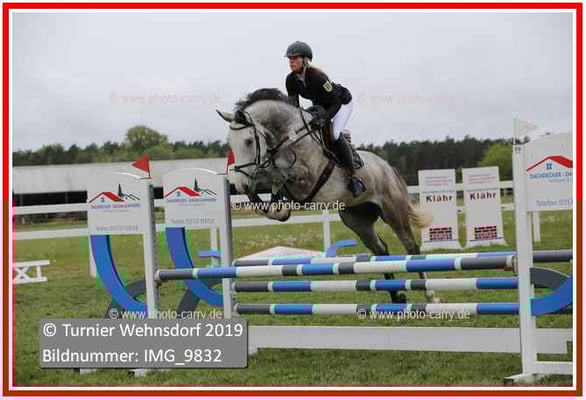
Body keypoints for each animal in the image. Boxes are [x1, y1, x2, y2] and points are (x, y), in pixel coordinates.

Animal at [217, 88, 439, 304]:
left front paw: (278, 206)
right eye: (230, 144)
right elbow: (261, 185)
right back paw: (396, 296)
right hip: (357, 219)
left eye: (248, 141)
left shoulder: (306, 179)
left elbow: (278, 175)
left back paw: (430, 295)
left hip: (394, 212)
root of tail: (388, 167)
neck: (289, 137)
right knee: (380, 249)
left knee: (411, 248)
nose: (239, 184)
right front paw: (275, 207)